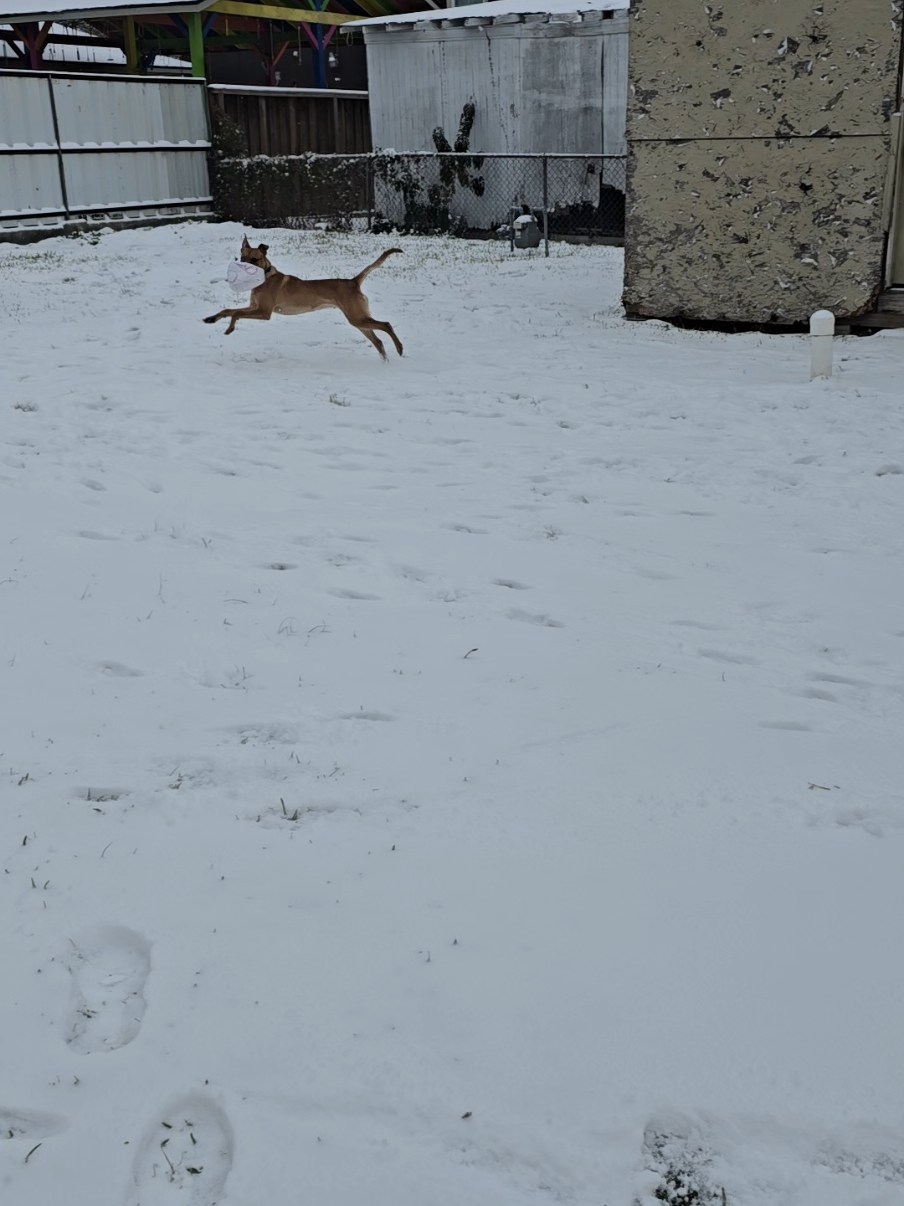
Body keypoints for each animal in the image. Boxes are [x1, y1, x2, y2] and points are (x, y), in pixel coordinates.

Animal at [204, 237, 407, 359]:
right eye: (242, 257)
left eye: (254, 259)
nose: (241, 268)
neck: (265, 277)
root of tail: (353, 282)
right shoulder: (254, 307)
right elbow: (228, 310)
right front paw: (211, 318)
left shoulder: (264, 312)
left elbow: (236, 314)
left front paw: (230, 328)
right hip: (358, 319)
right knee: (378, 341)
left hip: (357, 317)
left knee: (386, 325)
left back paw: (399, 348)